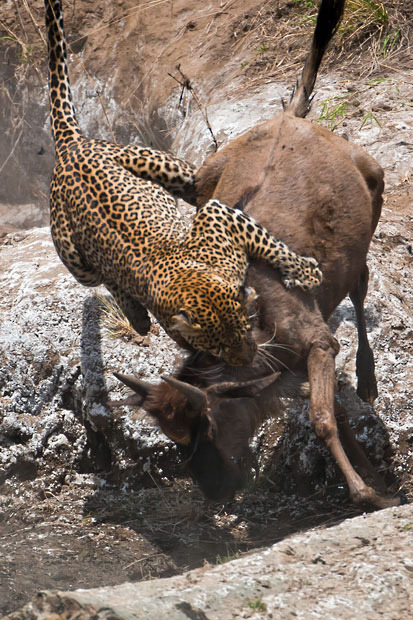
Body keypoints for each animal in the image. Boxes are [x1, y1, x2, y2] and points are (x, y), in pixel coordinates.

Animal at [45, 0, 322, 366]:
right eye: (217, 347)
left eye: (244, 325)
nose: (246, 361)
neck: (189, 277)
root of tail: (71, 145)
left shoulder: (218, 216)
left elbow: (271, 245)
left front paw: (306, 273)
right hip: (75, 258)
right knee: (105, 278)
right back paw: (137, 316)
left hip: (161, 166)